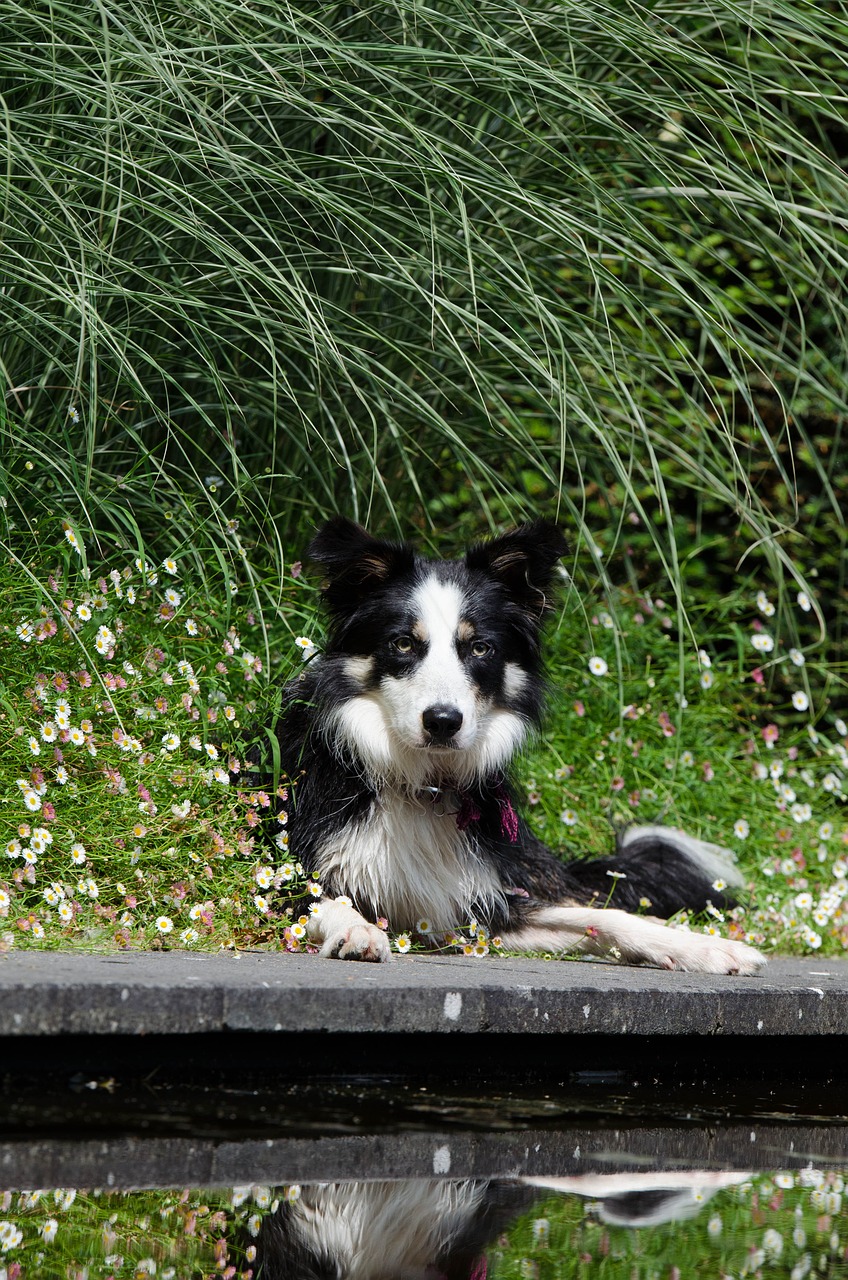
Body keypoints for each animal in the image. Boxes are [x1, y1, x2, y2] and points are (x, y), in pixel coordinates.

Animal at [269, 514, 768, 972]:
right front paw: (359, 930)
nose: (443, 723)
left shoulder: (485, 904)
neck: (422, 786)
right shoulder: (286, 872)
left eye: (480, 649)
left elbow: (606, 918)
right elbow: (325, 900)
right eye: (404, 644)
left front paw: (706, 948)